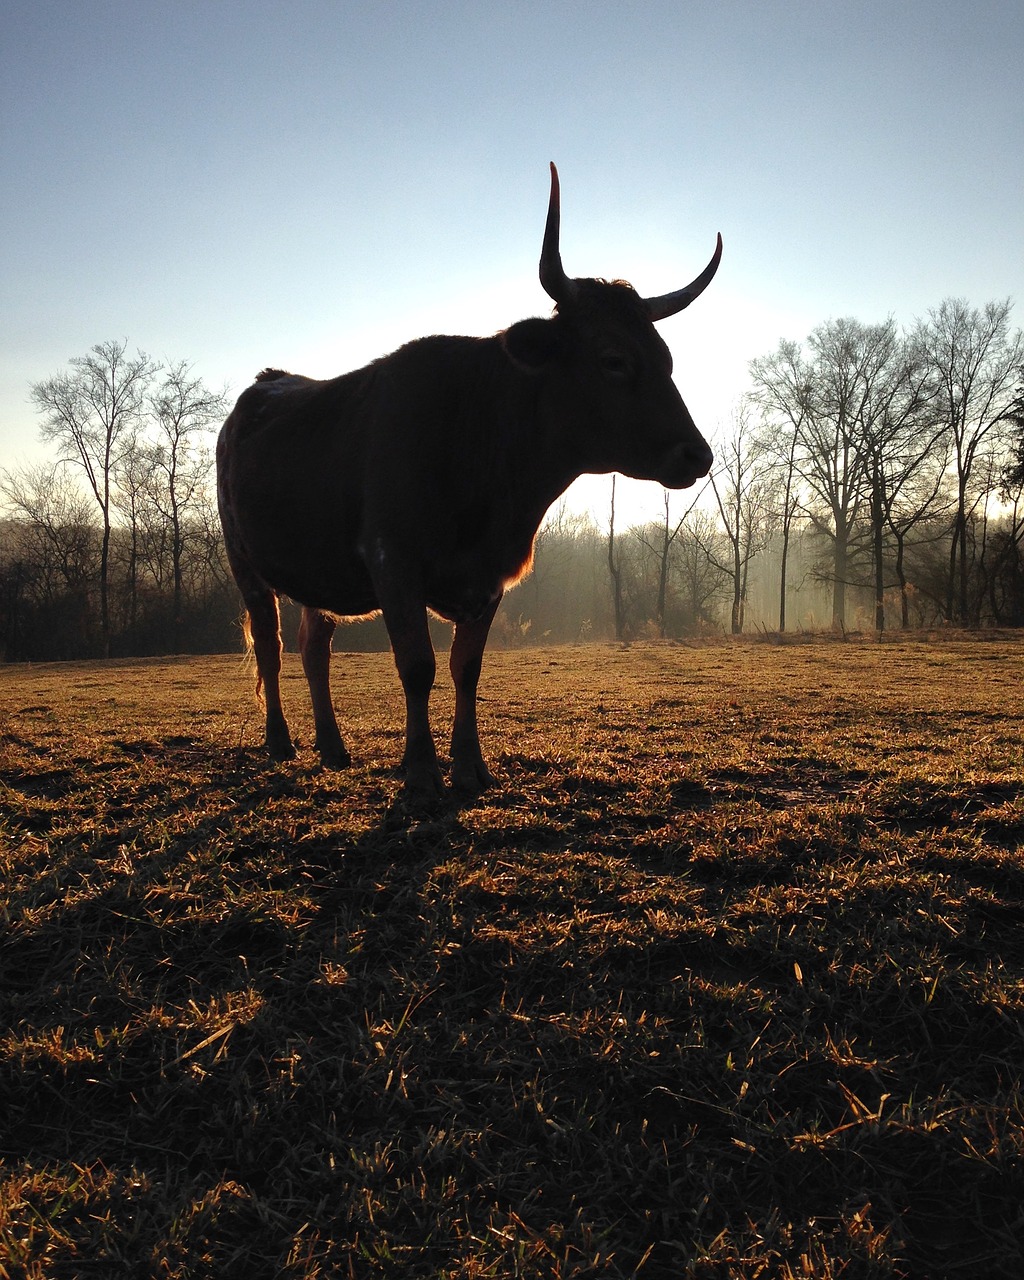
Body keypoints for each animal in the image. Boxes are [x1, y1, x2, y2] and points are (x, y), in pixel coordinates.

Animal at [216, 163, 721, 793]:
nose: (696, 455)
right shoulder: (394, 563)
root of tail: (268, 381)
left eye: (668, 360)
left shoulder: (489, 579)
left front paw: (470, 764)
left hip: (316, 573)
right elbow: (417, 667)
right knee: (270, 645)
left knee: (314, 648)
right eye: (614, 360)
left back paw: (332, 747)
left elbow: (466, 669)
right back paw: (280, 741)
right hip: (246, 565)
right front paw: (422, 771)